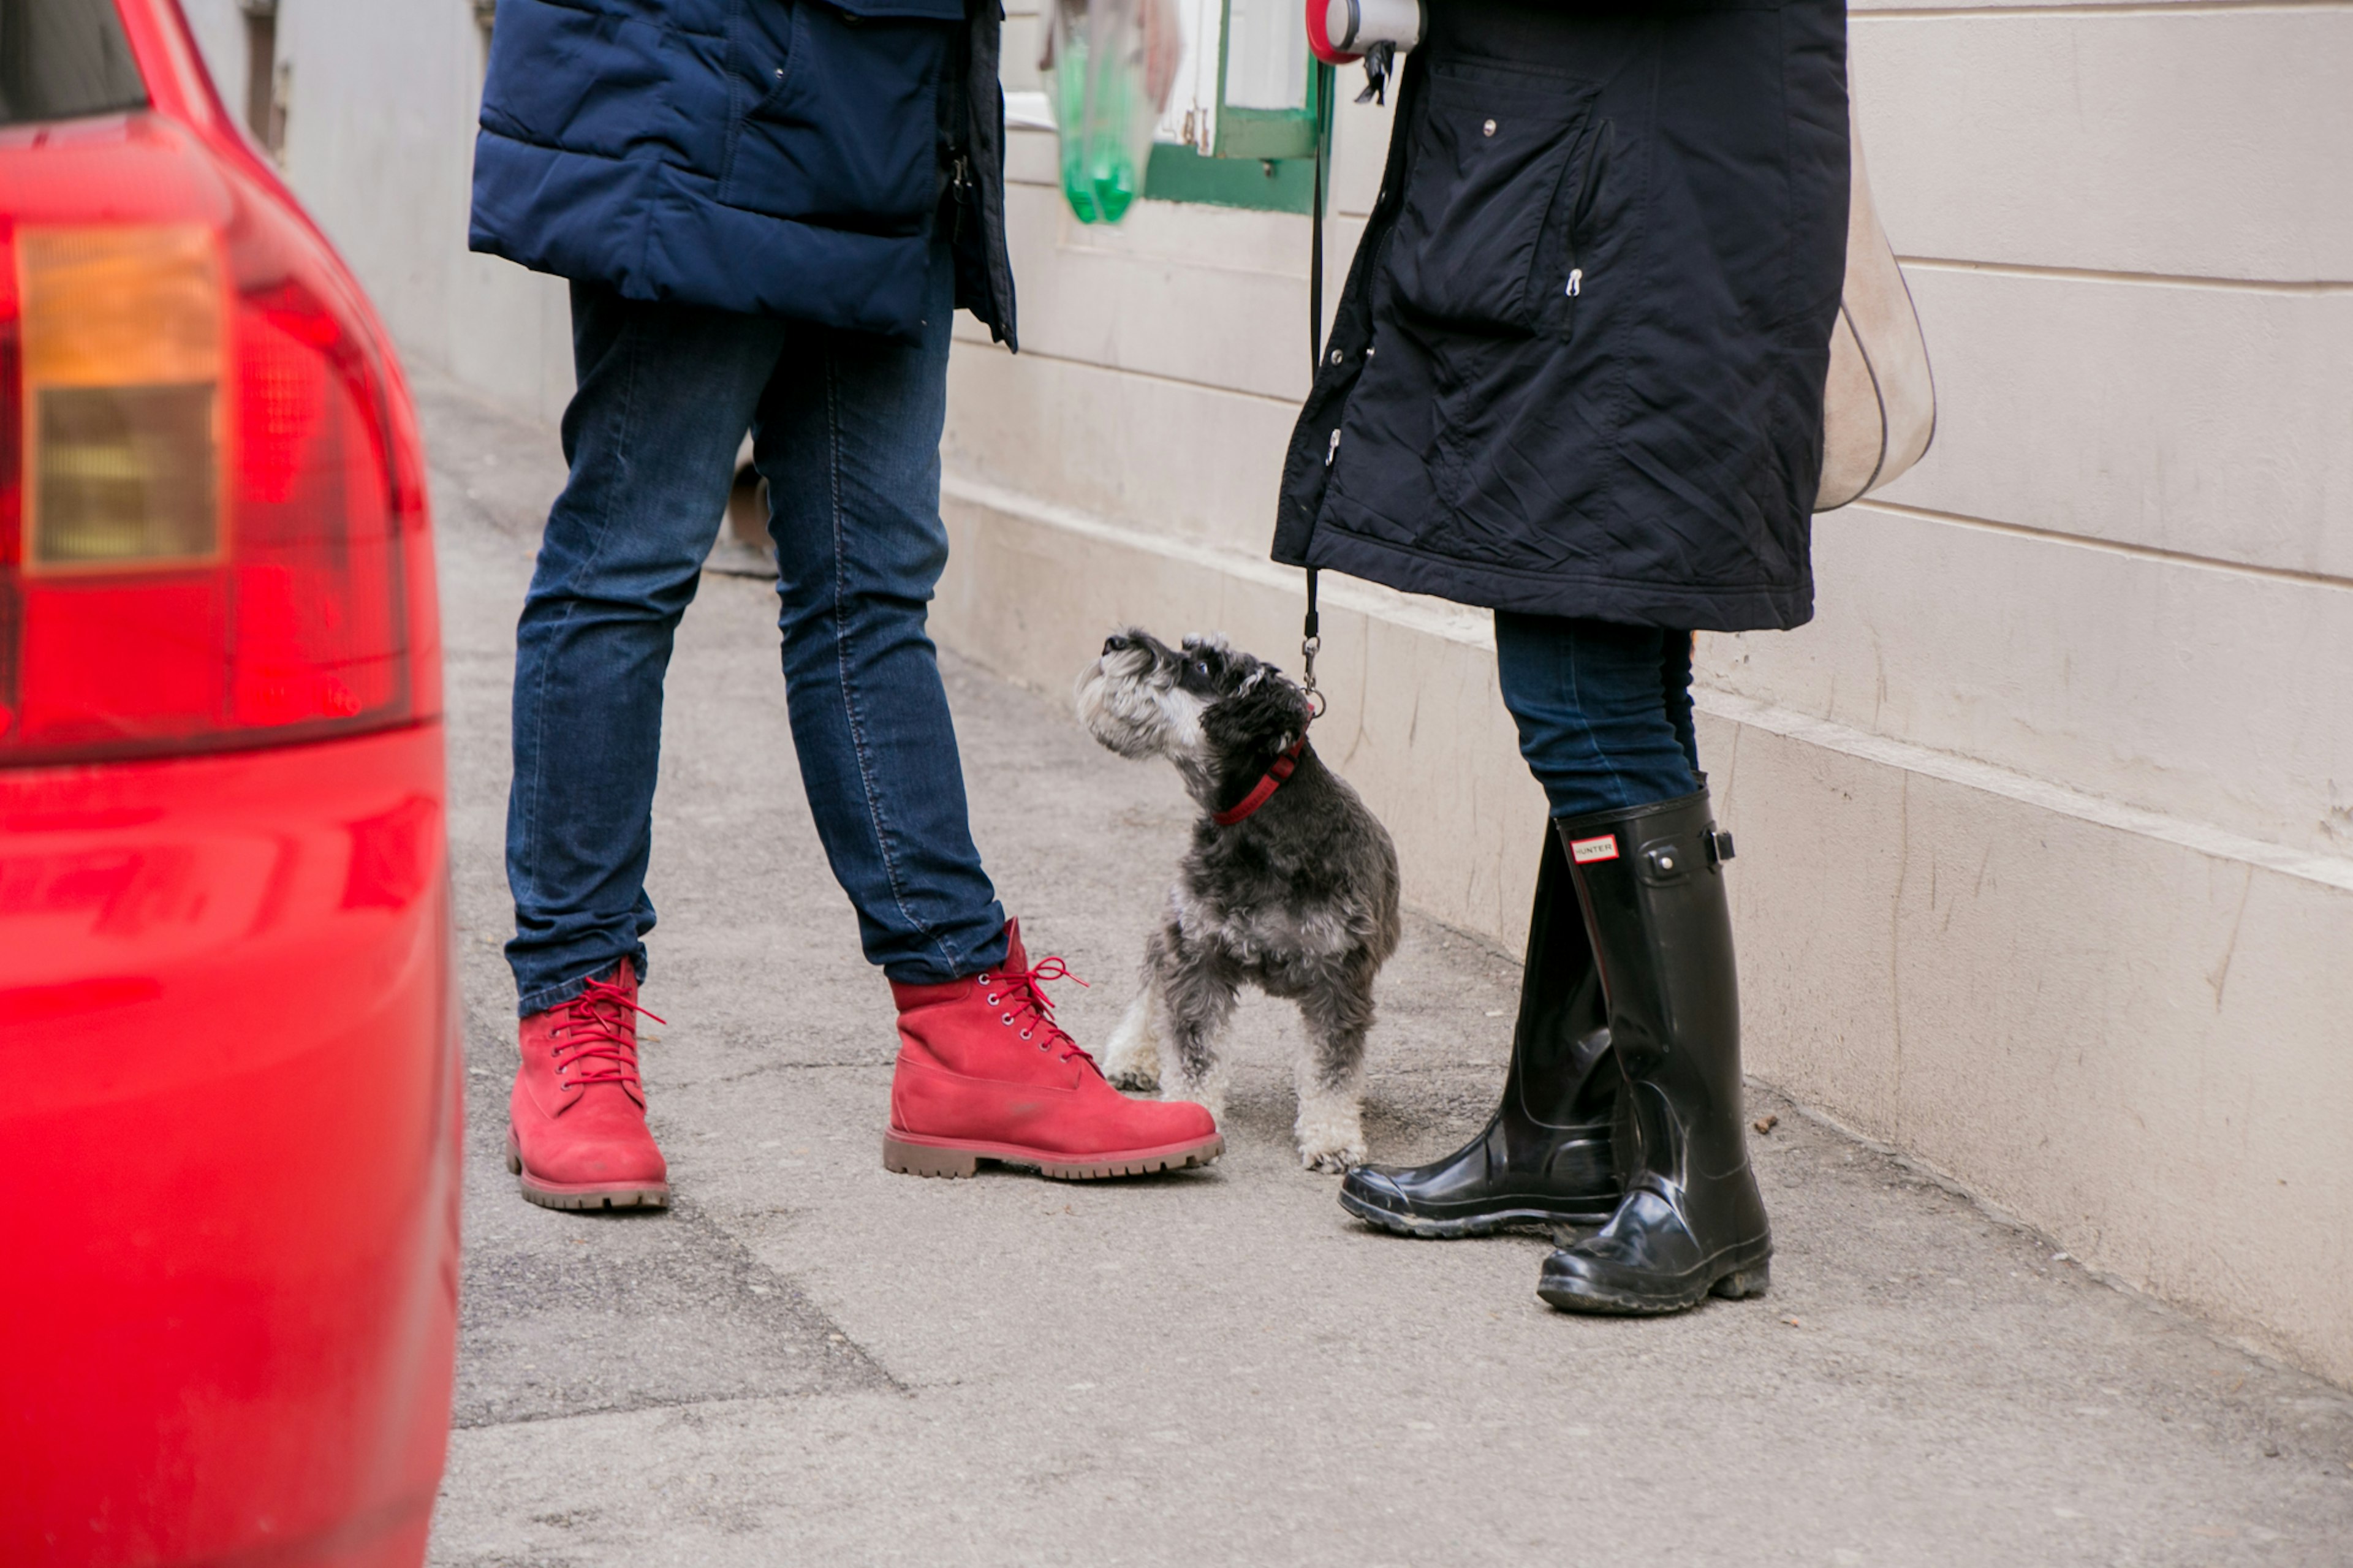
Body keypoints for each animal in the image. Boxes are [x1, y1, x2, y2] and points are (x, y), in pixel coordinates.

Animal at [1077, 631, 1393, 1167]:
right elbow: (1195, 1052)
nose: (1114, 641)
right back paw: (1133, 1055)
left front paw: (1332, 1137)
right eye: (1187, 648)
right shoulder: (1198, 954)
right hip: (1174, 927)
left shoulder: (1339, 978)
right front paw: (1189, 1112)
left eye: (1205, 666)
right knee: (1151, 983)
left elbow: (1332, 1069)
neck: (1261, 828)